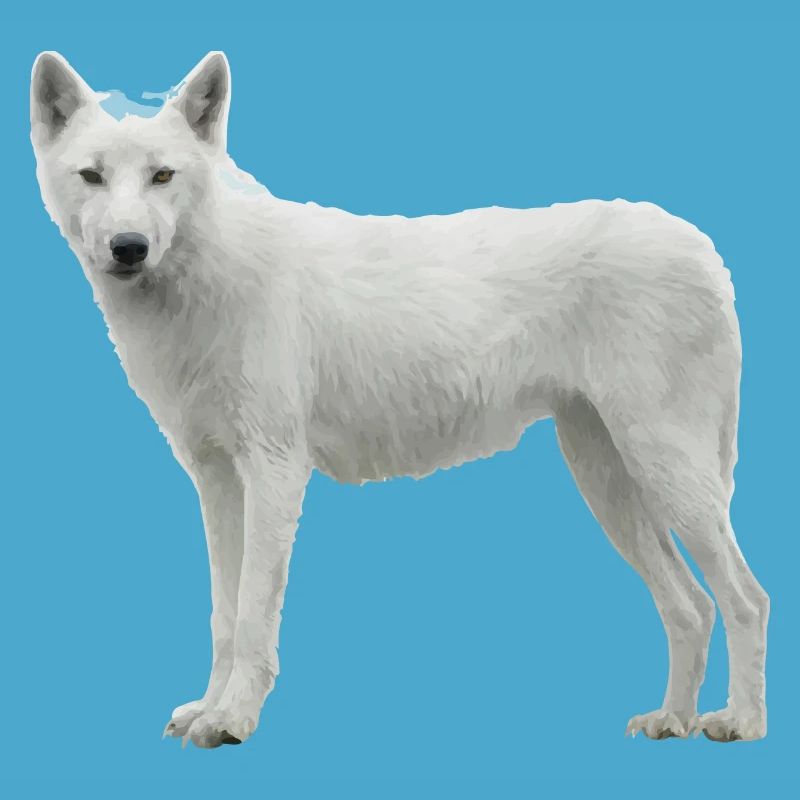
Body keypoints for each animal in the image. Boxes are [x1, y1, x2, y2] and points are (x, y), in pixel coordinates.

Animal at [30, 50, 769, 748]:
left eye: (162, 176)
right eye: (92, 176)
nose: (129, 247)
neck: (208, 275)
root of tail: (702, 247)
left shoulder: (275, 471)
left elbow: (253, 616)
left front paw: (234, 720)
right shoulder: (215, 480)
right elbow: (222, 615)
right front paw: (207, 711)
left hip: (666, 473)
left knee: (746, 600)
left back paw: (739, 722)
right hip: (608, 480)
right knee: (691, 607)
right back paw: (672, 719)